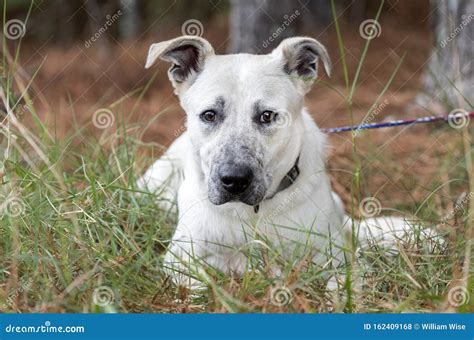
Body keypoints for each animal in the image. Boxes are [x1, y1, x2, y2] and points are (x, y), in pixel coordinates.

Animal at [138, 36, 422, 286]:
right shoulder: (179, 258)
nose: (234, 181)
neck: (255, 213)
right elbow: (197, 286)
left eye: (267, 116)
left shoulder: (340, 259)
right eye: (209, 115)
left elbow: (342, 285)